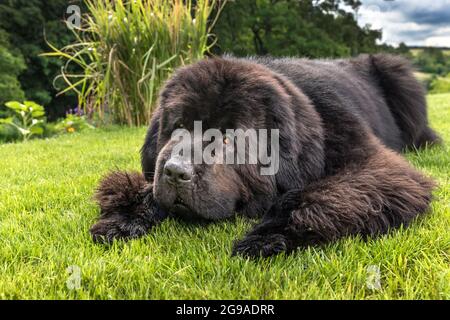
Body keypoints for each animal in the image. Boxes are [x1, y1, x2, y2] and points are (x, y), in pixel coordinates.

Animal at [89, 54, 442, 258]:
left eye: (229, 138)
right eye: (177, 128)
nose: (176, 172)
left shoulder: (377, 168)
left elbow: (319, 197)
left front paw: (265, 236)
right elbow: (141, 189)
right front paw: (122, 220)